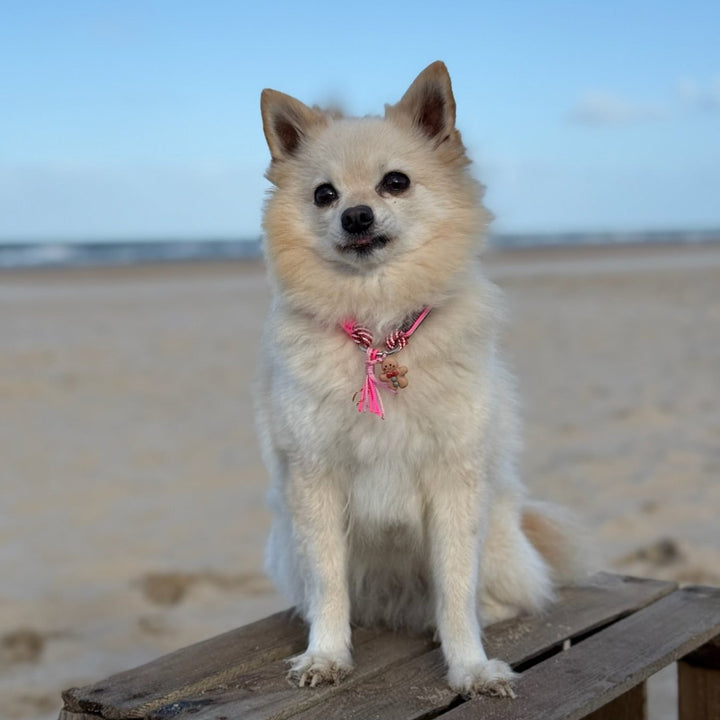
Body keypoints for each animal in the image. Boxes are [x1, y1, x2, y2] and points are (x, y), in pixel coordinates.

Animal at [256, 60, 584, 696]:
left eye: (396, 182)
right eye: (324, 194)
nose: (355, 215)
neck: (380, 328)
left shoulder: (454, 484)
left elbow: (455, 590)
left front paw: (470, 666)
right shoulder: (315, 483)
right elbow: (328, 583)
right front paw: (326, 654)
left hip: (497, 537)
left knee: (497, 597)